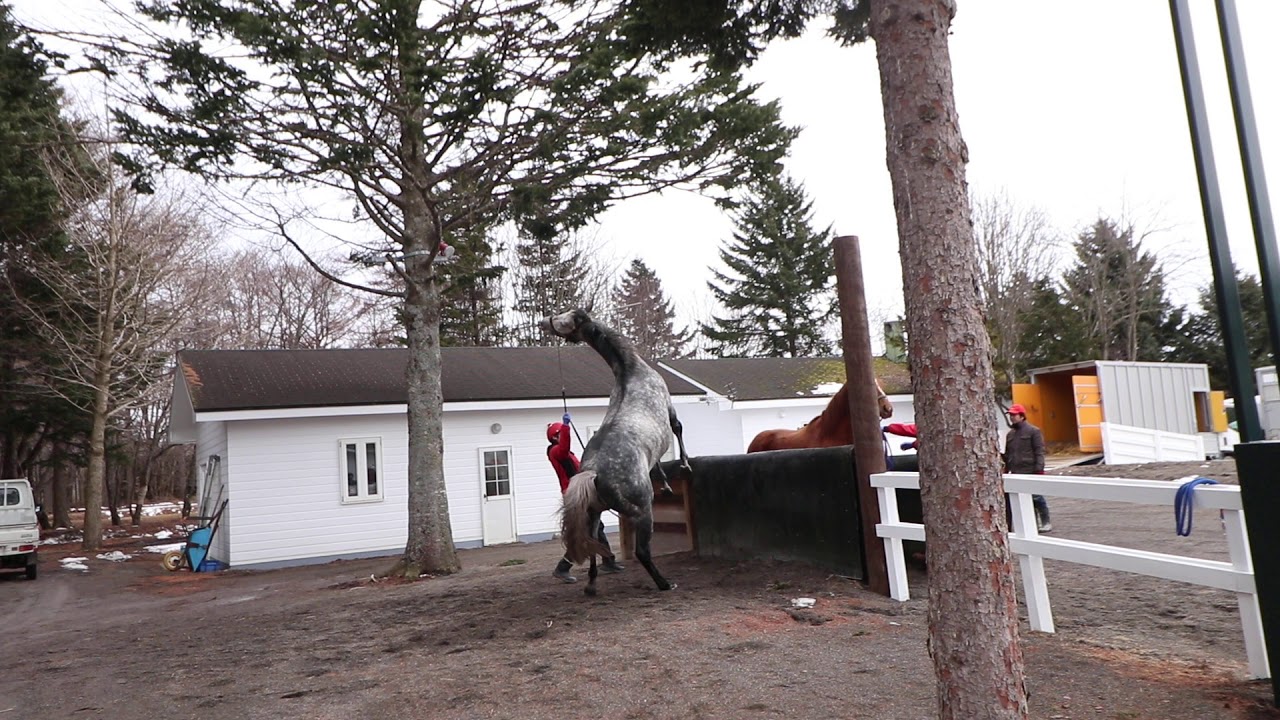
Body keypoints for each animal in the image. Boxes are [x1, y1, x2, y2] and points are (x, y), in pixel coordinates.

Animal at [540, 308, 693, 595]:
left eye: (566, 317)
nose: (545, 322)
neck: (630, 370)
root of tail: (593, 473)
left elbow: (657, 462)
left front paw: (667, 484)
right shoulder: (670, 409)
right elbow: (678, 429)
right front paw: (685, 465)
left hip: (592, 515)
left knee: (592, 547)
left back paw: (591, 585)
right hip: (643, 512)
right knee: (642, 551)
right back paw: (665, 584)